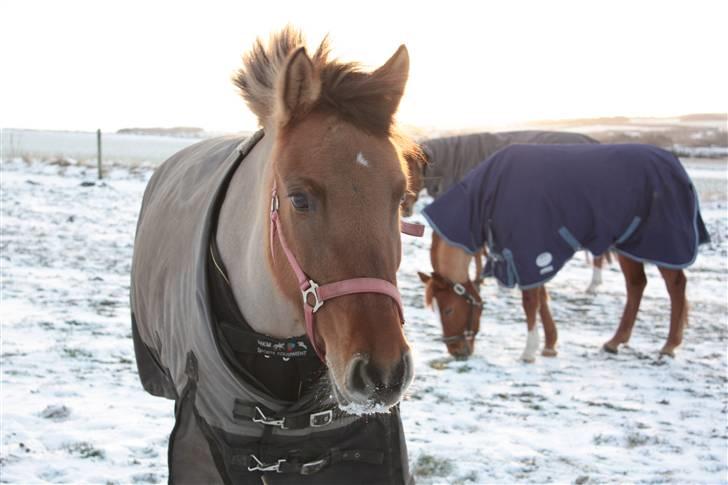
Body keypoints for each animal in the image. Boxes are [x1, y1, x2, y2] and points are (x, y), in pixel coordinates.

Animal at [418, 142, 708, 362]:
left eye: (448, 311)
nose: (456, 351)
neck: (486, 197)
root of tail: (673, 162)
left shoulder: (529, 251)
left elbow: (531, 301)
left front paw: (530, 350)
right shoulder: (532, 255)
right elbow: (542, 298)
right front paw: (549, 344)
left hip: (661, 243)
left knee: (676, 287)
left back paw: (670, 345)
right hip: (629, 245)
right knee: (636, 285)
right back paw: (616, 341)